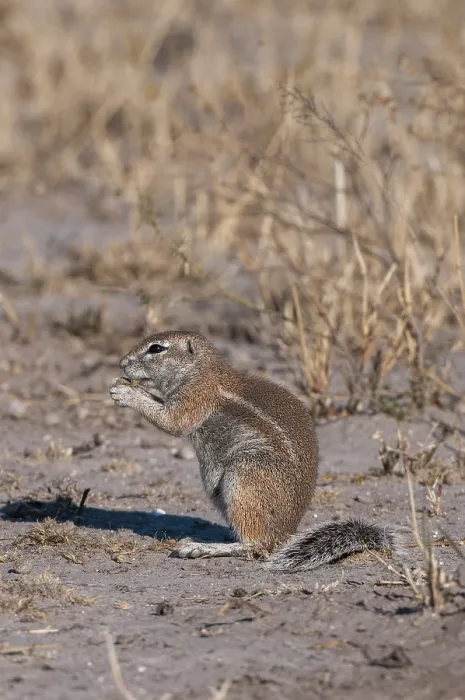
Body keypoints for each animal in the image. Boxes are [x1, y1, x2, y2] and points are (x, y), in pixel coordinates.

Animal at [109, 330, 400, 572]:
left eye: (156, 348)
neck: (201, 370)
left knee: (256, 546)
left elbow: (174, 422)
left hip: (245, 476)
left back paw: (202, 547)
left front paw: (125, 393)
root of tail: (285, 535)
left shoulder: (196, 398)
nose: (122, 362)